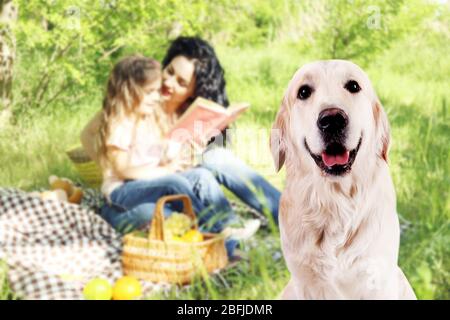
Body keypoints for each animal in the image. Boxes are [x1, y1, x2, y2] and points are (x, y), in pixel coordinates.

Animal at [268, 60, 416, 300]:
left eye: (353, 86)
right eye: (303, 92)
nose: (332, 120)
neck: (335, 201)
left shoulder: (376, 277)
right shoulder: (304, 283)